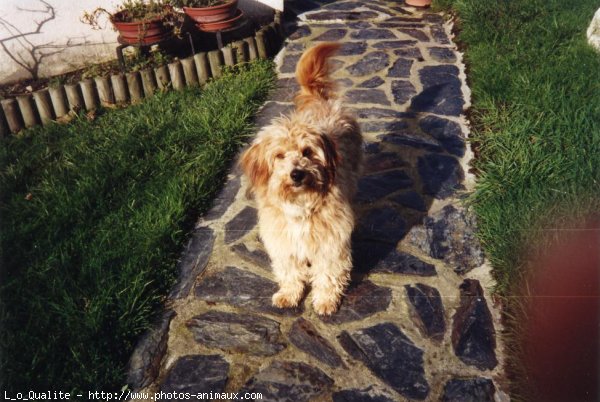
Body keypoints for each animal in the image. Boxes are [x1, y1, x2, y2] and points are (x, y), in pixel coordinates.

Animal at [239, 43, 360, 314]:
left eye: (307, 152)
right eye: (279, 155)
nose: (296, 174)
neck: (300, 206)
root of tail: (319, 99)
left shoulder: (330, 242)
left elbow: (328, 273)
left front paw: (325, 300)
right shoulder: (283, 242)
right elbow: (289, 271)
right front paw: (289, 294)